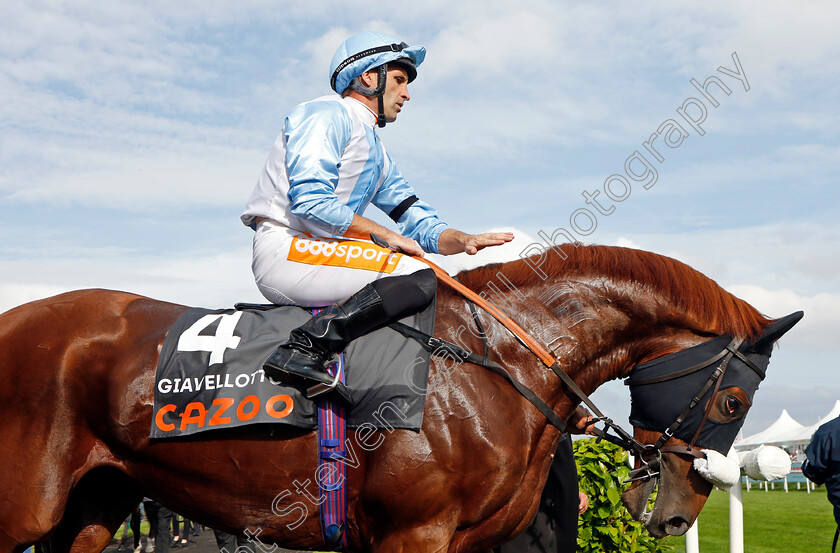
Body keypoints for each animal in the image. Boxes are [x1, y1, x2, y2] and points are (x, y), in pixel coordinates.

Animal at [0, 246, 796, 552]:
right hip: (25, 504)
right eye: (733, 403)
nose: (676, 513)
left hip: (95, 500)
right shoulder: (413, 532)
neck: (495, 362)